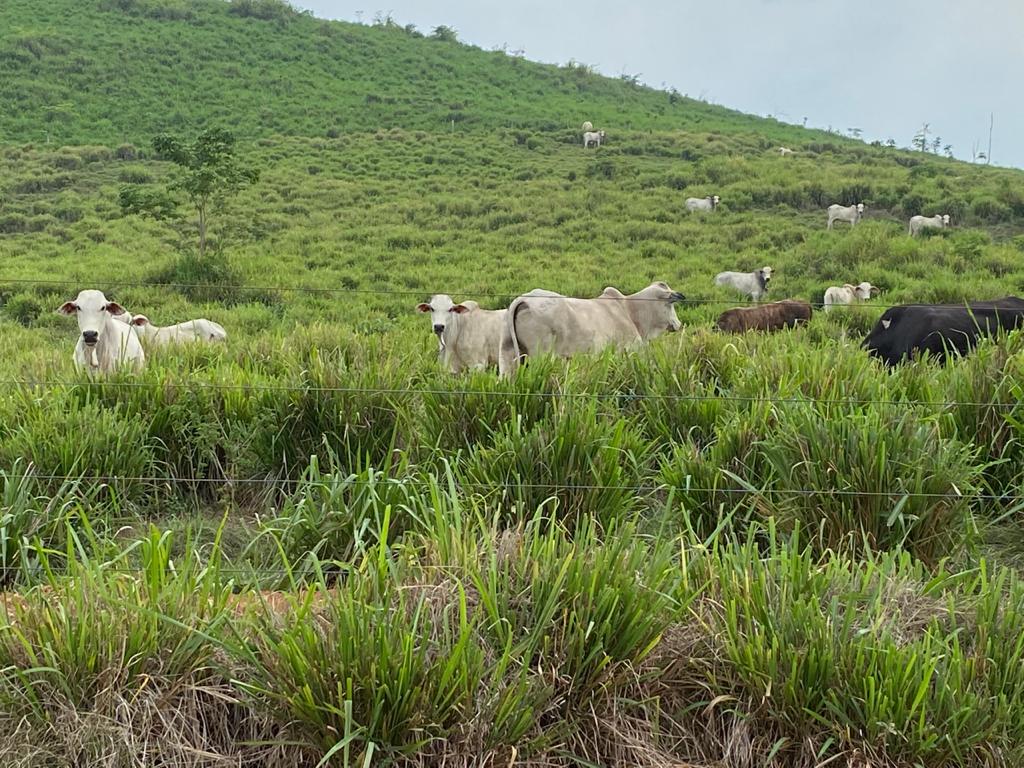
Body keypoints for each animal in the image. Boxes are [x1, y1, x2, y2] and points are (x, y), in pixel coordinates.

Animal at [497, 282, 684, 378]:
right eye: (671, 304)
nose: (679, 324)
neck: (630, 310)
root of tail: (525, 299)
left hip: (506, 356)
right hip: (540, 357)